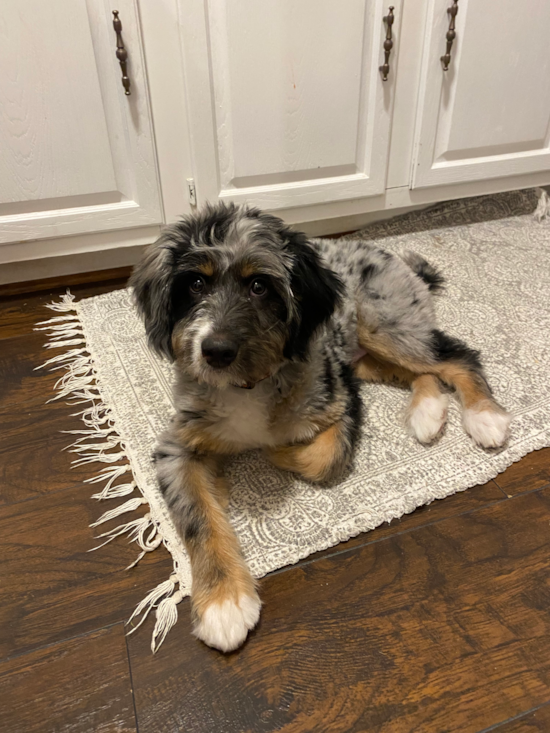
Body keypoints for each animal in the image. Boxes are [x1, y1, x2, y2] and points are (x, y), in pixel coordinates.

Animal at [130, 202, 512, 652]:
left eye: (259, 285)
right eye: (194, 284)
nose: (216, 351)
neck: (248, 383)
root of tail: (391, 255)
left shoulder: (339, 398)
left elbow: (320, 458)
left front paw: (270, 447)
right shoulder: (177, 446)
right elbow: (198, 518)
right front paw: (224, 602)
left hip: (385, 326)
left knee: (456, 356)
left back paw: (485, 416)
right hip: (365, 357)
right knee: (423, 373)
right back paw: (428, 411)